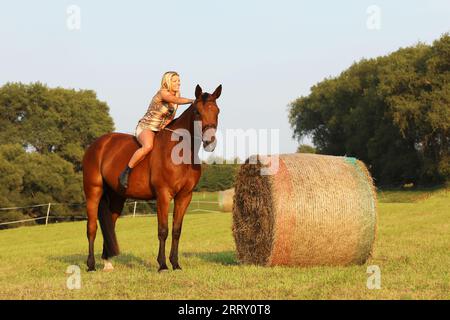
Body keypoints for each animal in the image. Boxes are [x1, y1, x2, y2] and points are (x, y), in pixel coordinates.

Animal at [81, 84, 222, 272]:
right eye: (197, 112)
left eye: (217, 111)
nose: (209, 142)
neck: (180, 151)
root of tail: (97, 145)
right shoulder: (163, 195)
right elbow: (163, 230)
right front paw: (162, 265)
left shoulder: (184, 196)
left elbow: (176, 230)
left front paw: (175, 263)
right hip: (93, 192)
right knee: (92, 227)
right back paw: (91, 265)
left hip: (117, 197)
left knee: (110, 225)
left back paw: (107, 263)